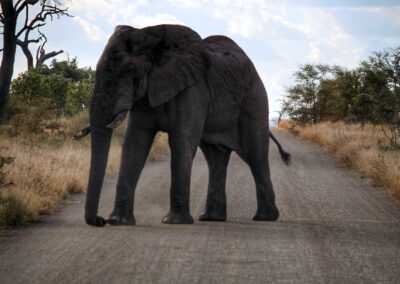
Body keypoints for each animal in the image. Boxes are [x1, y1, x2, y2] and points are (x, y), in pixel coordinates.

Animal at [73, 25, 290, 229]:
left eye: (129, 71)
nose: (100, 220)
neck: (153, 40)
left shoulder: (193, 89)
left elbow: (181, 142)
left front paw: (174, 222)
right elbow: (134, 145)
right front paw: (118, 222)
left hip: (255, 100)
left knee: (256, 156)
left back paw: (265, 218)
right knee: (215, 158)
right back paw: (211, 218)